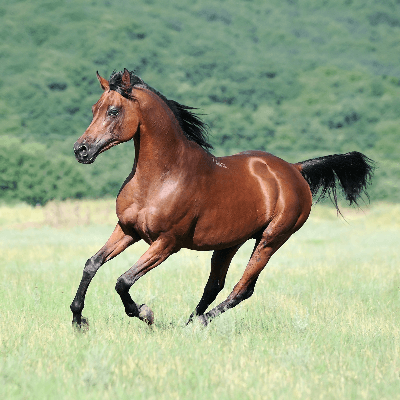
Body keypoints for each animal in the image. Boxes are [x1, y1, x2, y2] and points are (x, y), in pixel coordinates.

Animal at [70, 69, 374, 328]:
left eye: (113, 110)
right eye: (94, 109)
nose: (81, 150)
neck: (161, 177)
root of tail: (294, 169)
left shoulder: (167, 243)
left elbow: (123, 280)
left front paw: (145, 313)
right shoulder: (127, 229)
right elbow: (91, 264)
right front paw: (78, 320)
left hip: (271, 240)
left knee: (242, 288)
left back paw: (199, 323)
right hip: (230, 242)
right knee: (214, 285)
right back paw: (190, 323)